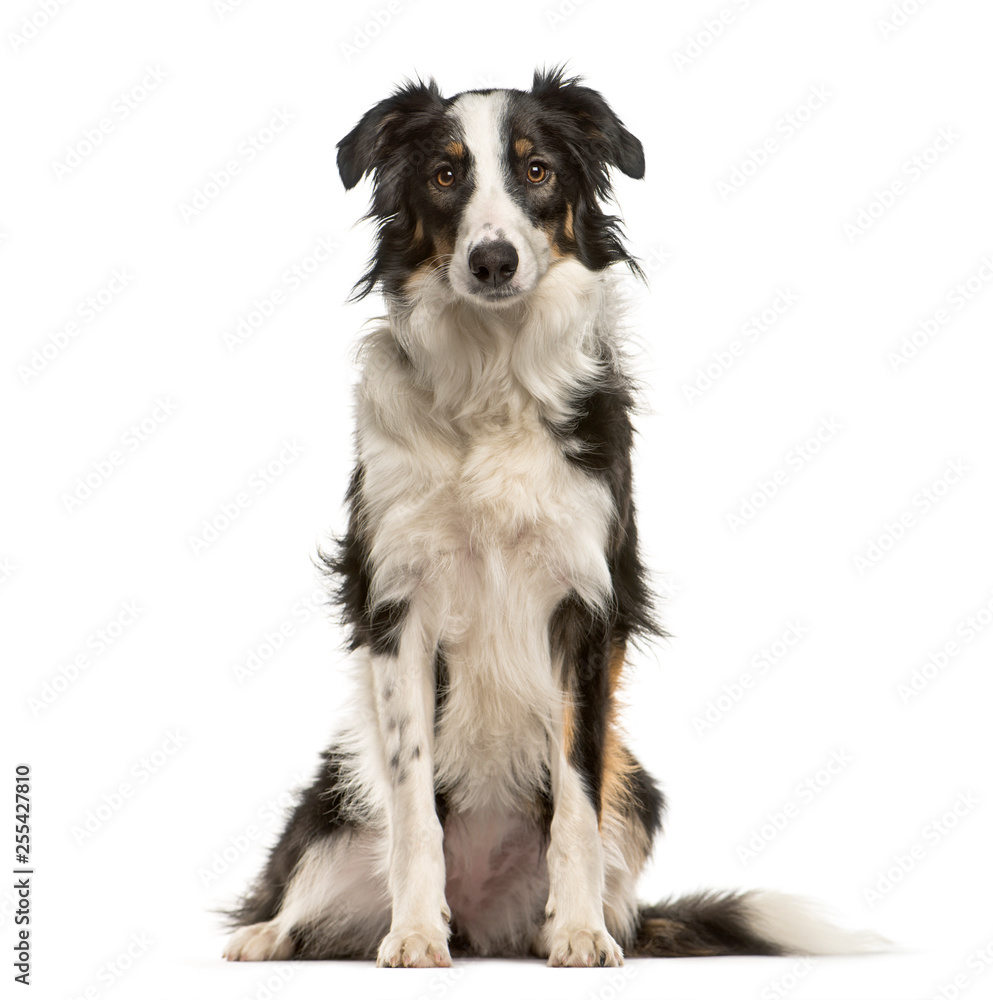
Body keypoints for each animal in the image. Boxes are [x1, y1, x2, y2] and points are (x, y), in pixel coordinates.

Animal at [223, 66, 868, 964]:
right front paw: (414, 934)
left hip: (638, 789)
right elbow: (413, 802)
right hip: (335, 800)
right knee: (310, 888)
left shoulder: (585, 609)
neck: (491, 375)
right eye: (444, 175)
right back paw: (270, 935)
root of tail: (483, 921)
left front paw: (579, 933)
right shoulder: (396, 606)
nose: (493, 260)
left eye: (536, 171)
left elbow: (575, 795)